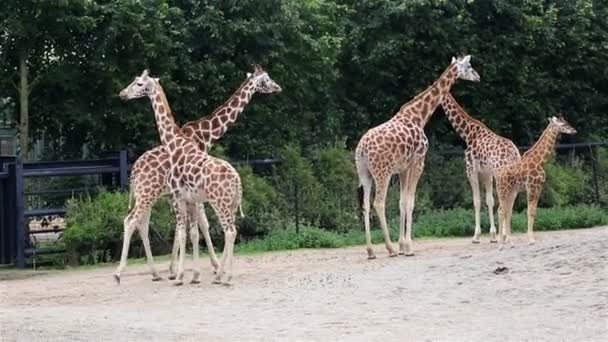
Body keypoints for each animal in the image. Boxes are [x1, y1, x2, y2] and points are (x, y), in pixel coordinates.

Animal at [113, 65, 280, 284]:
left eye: (138, 83)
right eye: (267, 79)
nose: (123, 94)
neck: (206, 134)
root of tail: (134, 171)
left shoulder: (187, 196)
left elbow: (193, 228)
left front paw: (188, 270)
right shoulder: (186, 196)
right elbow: (197, 227)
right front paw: (195, 269)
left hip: (149, 195)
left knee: (141, 223)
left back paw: (155, 273)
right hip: (148, 194)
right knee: (132, 221)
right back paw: (122, 273)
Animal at [356, 56, 480, 260]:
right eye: (469, 66)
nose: (477, 77)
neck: (420, 116)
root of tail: (362, 150)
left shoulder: (403, 168)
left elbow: (402, 202)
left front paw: (402, 246)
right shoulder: (418, 163)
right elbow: (411, 202)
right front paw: (408, 248)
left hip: (364, 173)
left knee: (366, 205)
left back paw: (371, 251)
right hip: (382, 172)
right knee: (378, 203)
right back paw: (389, 249)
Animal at [440, 92, 520, 243]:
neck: (468, 133)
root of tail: (515, 155)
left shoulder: (471, 170)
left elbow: (477, 201)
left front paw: (476, 236)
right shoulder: (487, 174)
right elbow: (489, 200)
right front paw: (493, 235)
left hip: (501, 176)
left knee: (505, 202)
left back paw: (505, 235)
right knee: (510, 201)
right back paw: (506, 235)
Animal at [494, 115, 576, 248]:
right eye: (563, 124)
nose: (574, 131)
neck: (540, 161)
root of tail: (497, 175)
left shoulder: (539, 187)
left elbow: (534, 212)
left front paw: (531, 238)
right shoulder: (531, 186)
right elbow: (530, 211)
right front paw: (531, 239)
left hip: (511, 192)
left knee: (507, 212)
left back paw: (510, 242)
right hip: (503, 190)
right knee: (501, 211)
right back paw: (500, 243)